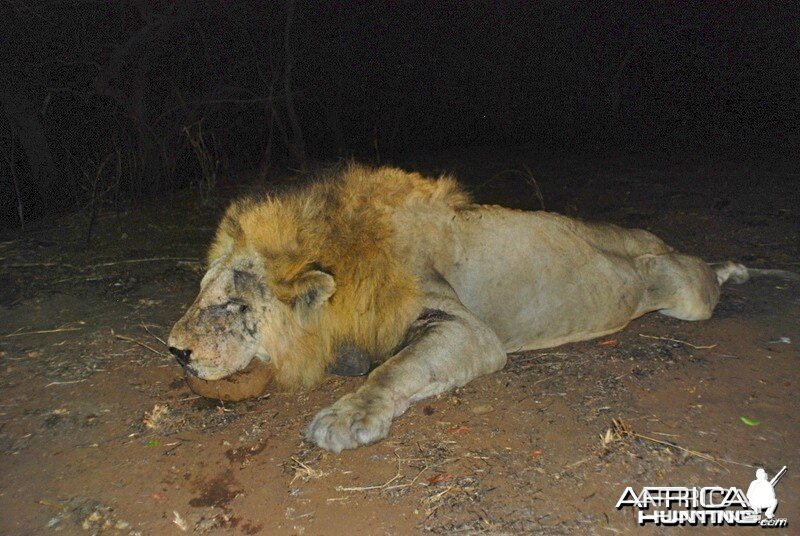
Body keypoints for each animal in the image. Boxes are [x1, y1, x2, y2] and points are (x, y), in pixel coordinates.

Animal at [167, 161, 792, 450]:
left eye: (230, 303)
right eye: (201, 292)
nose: (174, 351)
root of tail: (650, 240)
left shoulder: (467, 328)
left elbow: (394, 368)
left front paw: (346, 417)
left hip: (684, 294)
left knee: (707, 274)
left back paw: (748, 269)